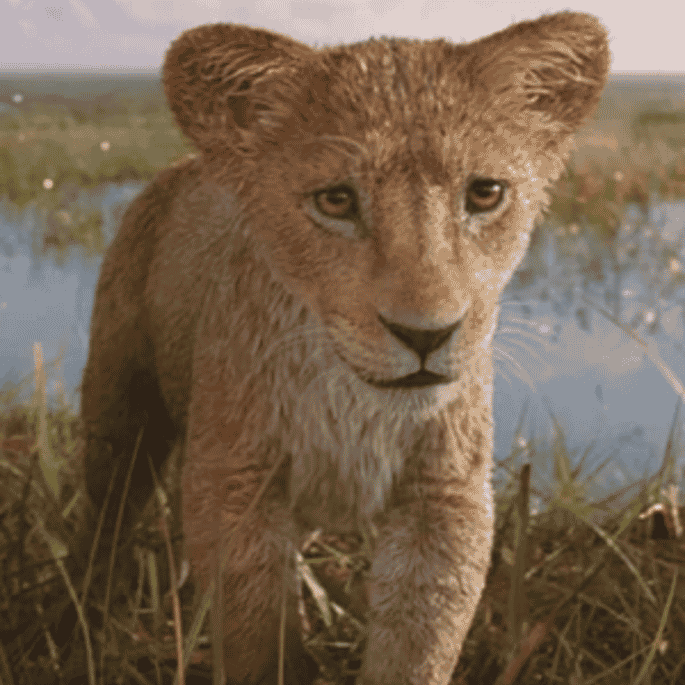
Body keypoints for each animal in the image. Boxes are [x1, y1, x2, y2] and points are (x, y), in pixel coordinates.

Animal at [81, 12, 609, 685]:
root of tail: (183, 164)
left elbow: (417, 646)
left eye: (486, 193)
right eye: (335, 200)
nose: (425, 334)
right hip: (119, 401)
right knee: (104, 515)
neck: (352, 403)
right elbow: (257, 642)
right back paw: (81, 621)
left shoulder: (445, 497)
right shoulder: (233, 481)